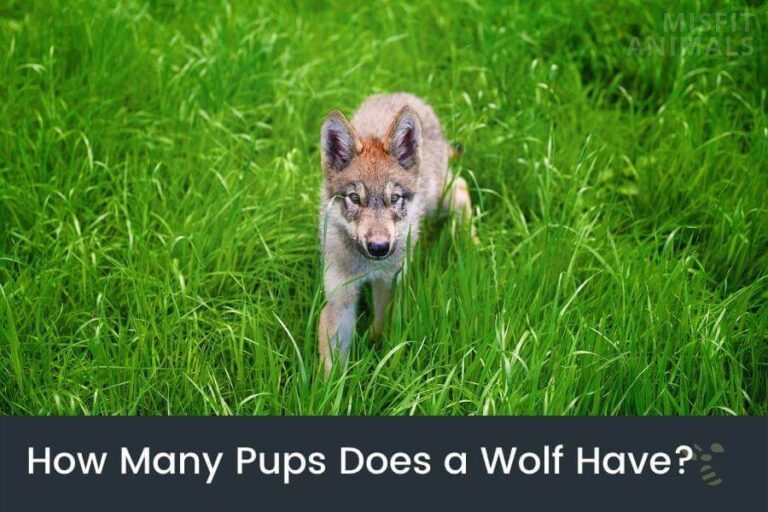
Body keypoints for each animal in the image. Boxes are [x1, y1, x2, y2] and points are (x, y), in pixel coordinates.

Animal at [318, 93, 474, 376]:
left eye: (394, 198)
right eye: (355, 198)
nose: (379, 247)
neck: (367, 266)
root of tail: (407, 96)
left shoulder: (388, 283)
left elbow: (381, 327)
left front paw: (374, 352)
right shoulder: (339, 298)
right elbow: (332, 368)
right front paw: (329, 388)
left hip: (436, 202)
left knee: (460, 186)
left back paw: (473, 243)